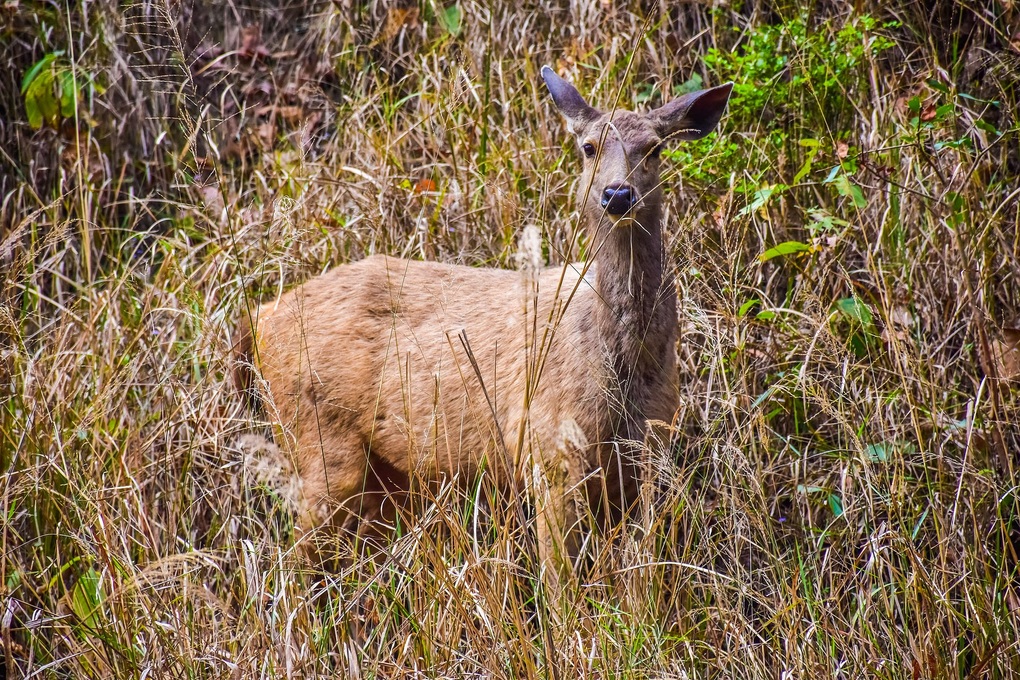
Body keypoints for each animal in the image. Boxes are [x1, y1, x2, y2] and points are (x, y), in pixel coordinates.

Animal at [234, 66, 730, 570]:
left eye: (654, 148)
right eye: (588, 146)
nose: (617, 193)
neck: (621, 360)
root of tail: (259, 317)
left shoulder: (650, 449)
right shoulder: (545, 448)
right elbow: (561, 577)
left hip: (385, 474)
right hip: (318, 434)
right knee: (295, 556)